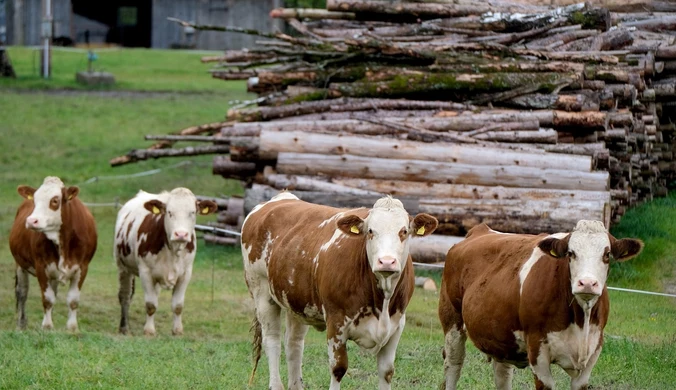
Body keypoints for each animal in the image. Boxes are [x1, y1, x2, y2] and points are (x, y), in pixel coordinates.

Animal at [9, 177, 97, 332]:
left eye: (55, 200)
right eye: (35, 200)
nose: (31, 221)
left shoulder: (82, 267)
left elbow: (73, 300)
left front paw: (72, 327)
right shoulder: (41, 267)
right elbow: (48, 299)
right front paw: (47, 326)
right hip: (20, 265)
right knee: (22, 293)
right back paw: (21, 324)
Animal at [114, 188, 217, 336]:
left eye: (192, 212)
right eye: (169, 212)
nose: (181, 234)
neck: (173, 250)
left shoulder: (186, 274)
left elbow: (178, 305)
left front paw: (177, 330)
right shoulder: (145, 272)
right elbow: (151, 304)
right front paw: (149, 330)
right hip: (123, 267)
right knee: (125, 295)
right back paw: (124, 327)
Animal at [243, 194, 438, 390]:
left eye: (404, 231)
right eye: (370, 231)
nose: (386, 262)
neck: (381, 300)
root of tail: (281, 197)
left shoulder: (397, 325)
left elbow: (387, 371)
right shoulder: (336, 322)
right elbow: (338, 368)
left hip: (296, 302)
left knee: (294, 344)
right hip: (261, 292)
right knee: (272, 340)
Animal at [438, 221, 644, 388]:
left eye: (607, 254)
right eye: (571, 253)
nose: (587, 283)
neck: (580, 321)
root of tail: (480, 230)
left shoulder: (593, 351)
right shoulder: (538, 350)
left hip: (501, 335)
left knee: (502, 374)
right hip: (452, 319)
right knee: (453, 364)